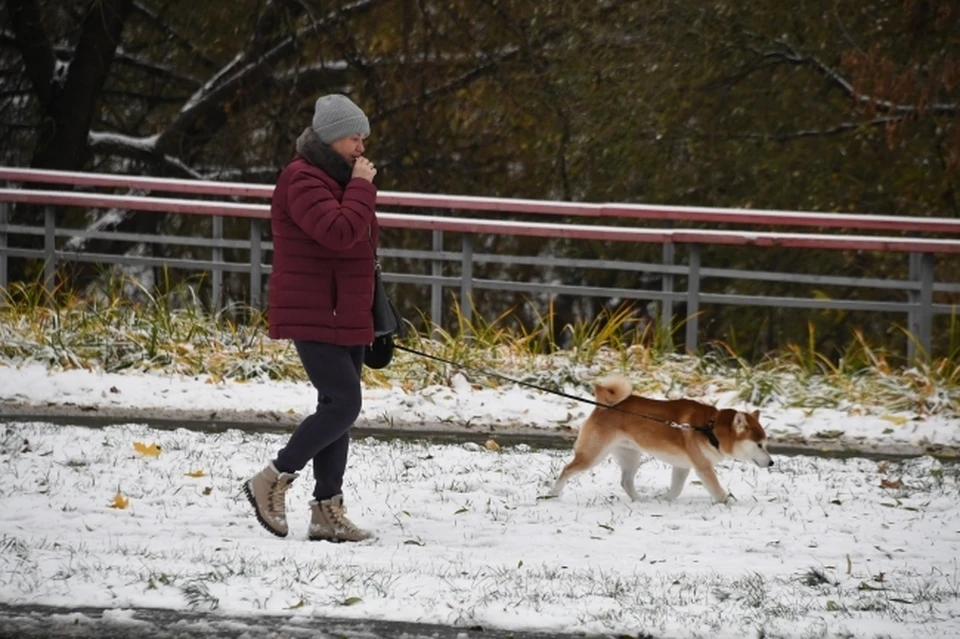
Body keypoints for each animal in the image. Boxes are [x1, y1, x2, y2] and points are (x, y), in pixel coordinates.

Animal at [548, 376, 772, 504]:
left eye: (766, 444)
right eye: (759, 445)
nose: (771, 462)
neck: (711, 428)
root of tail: (603, 406)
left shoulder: (683, 466)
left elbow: (676, 488)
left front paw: (665, 499)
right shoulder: (703, 467)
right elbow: (716, 489)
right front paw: (727, 502)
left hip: (630, 456)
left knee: (626, 481)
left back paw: (640, 500)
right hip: (592, 455)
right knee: (567, 469)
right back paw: (553, 493)